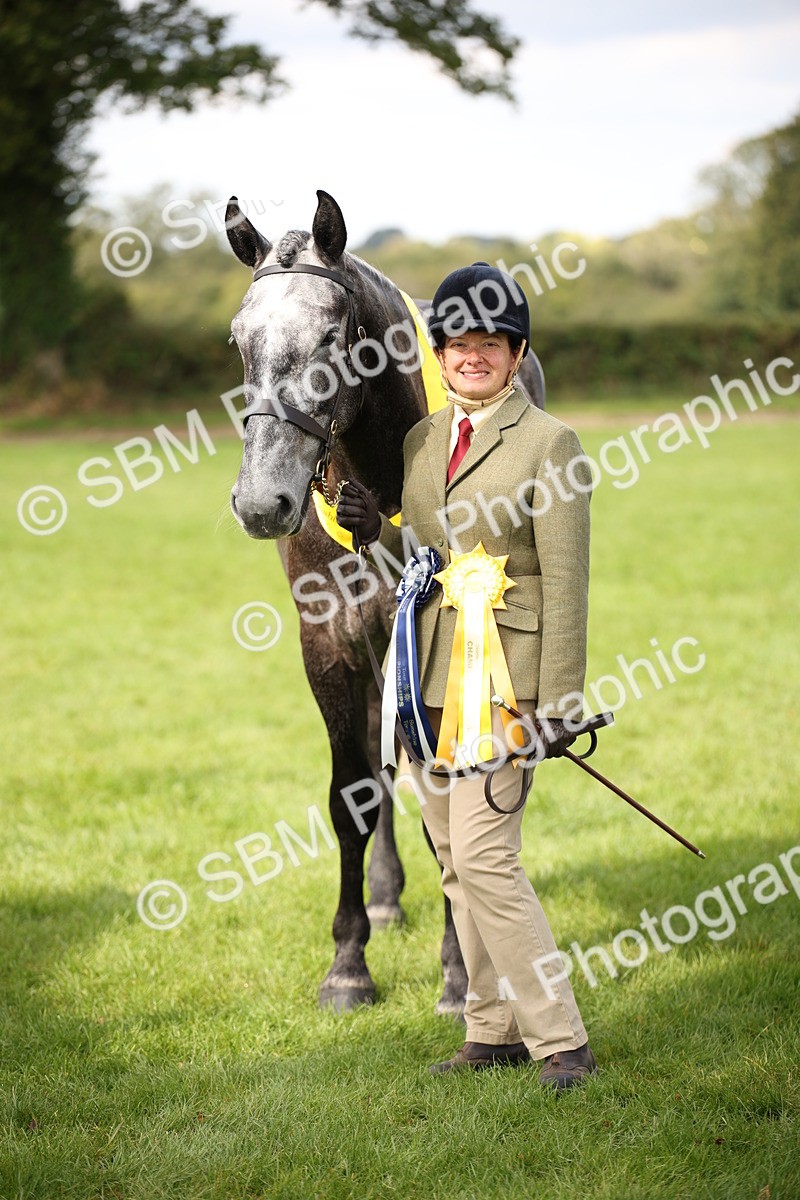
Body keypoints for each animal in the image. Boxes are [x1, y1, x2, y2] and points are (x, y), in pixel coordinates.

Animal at [224, 189, 545, 1013]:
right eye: (239, 337)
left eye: (331, 334)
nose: (263, 501)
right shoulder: (330, 642)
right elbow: (353, 795)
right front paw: (348, 963)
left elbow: (448, 790)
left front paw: (461, 973)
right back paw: (386, 895)